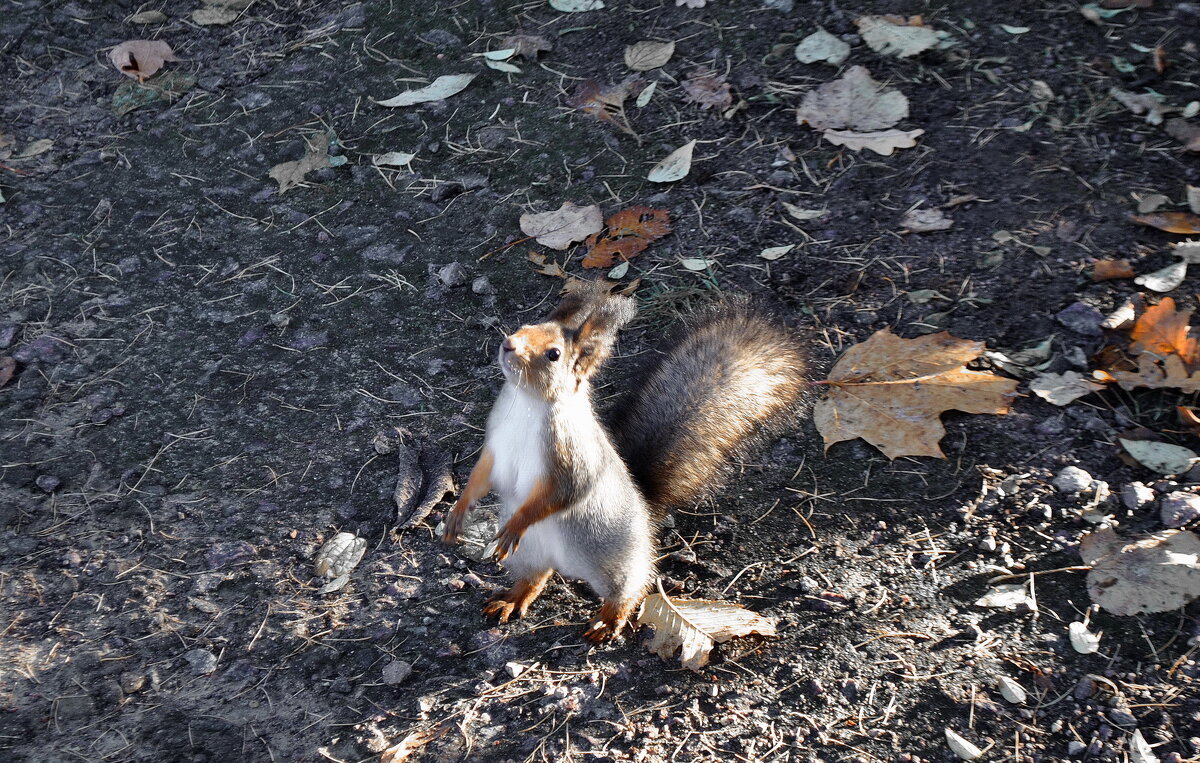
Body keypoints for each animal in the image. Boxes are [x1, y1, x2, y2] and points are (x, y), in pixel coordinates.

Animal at [441, 283, 806, 643]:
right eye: (525, 326)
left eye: (554, 354)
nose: (508, 344)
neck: (525, 403)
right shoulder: (496, 448)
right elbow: (481, 476)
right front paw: (457, 513)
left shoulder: (572, 459)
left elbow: (561, 493)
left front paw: (517, 522)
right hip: (529, 552)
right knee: (535, 577)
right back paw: (513, 598)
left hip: (611, 558)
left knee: (629, 587)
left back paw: (609, 620)